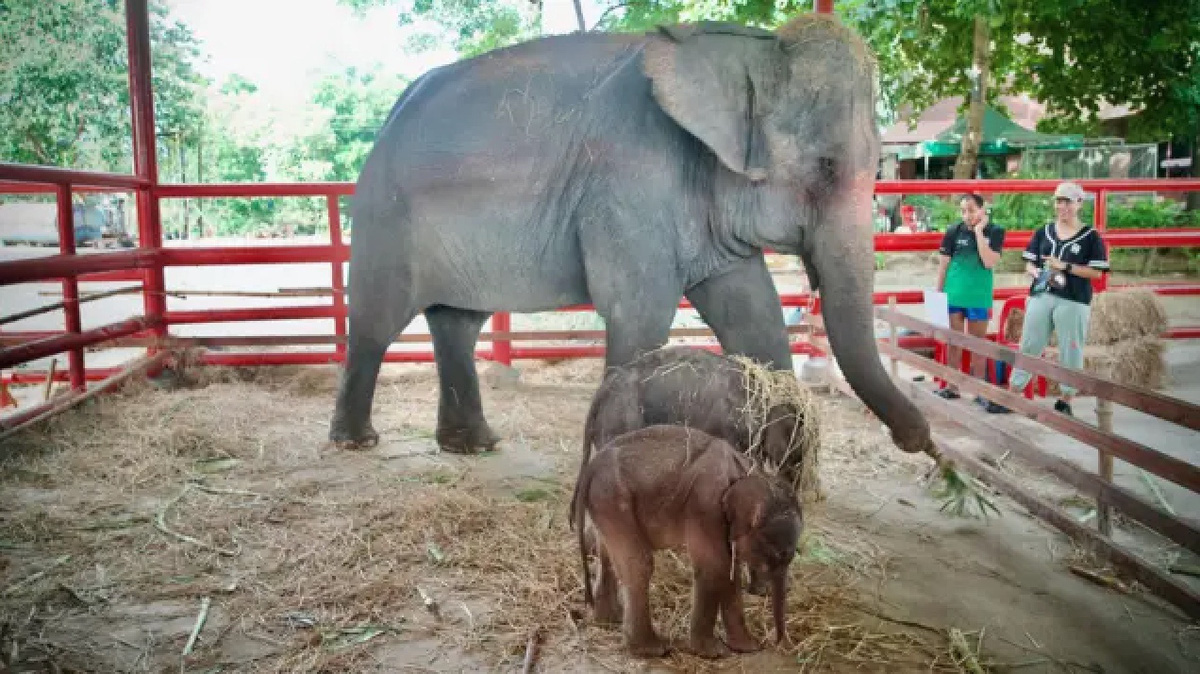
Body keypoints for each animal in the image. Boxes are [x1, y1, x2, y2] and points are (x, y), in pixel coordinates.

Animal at [328, 13, 936, 455]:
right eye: (826, 167)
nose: (923, 444)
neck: (749, 45)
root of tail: (391, 113)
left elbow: (754, 313)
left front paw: (780, 469)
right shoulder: (629, 183)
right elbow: (640, 314)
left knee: (457, 323)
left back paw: (473, 446)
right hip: (385, 216)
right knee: (378, 322)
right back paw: (357, 442)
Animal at [568, 424, 801, 657]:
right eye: (778, 554)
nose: (776, 643)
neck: (749, 473)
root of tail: (591, 467)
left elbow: (730, 572)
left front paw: (747, 647)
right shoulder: (706, 505)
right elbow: (715, 567)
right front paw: (714, 652)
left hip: (603, 502)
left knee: (606, 554)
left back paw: (608, 621)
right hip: (613, 497)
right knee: (639, 565)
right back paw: (652, 648)